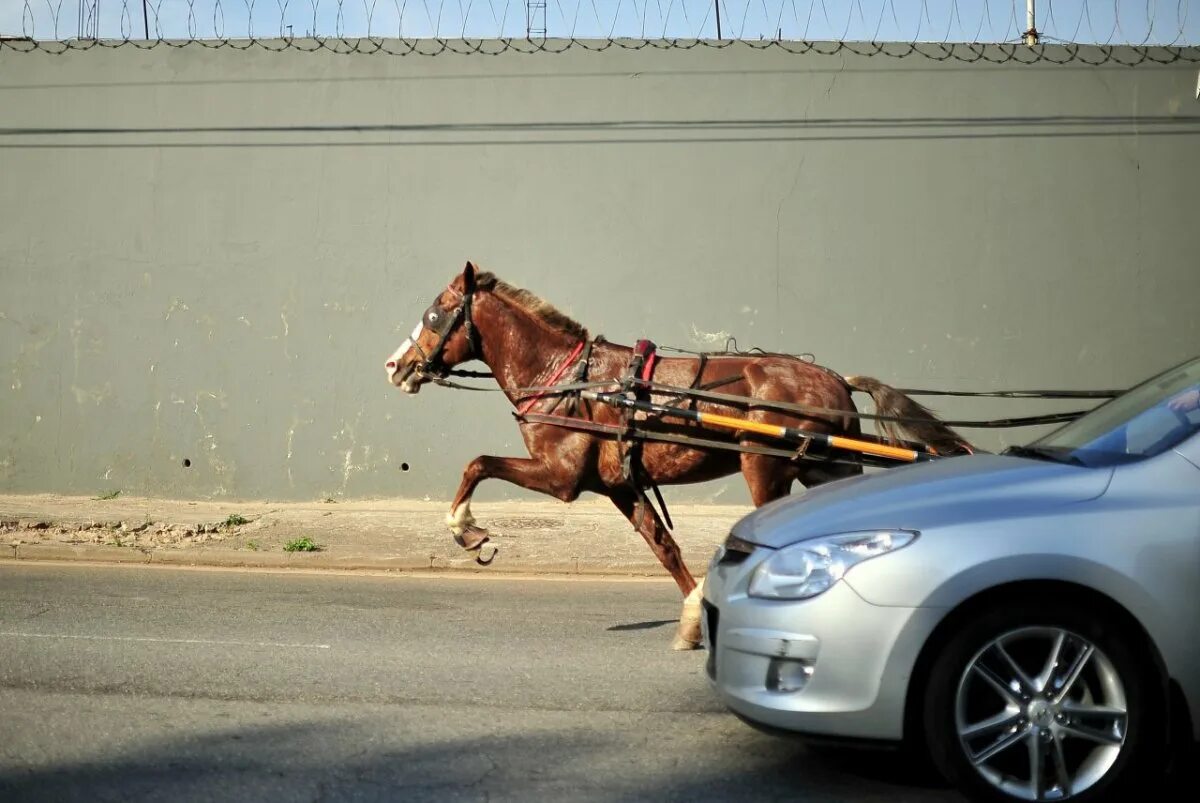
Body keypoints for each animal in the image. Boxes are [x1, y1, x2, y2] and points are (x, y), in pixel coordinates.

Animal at [388, 266, 969, 648]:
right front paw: (692, 617)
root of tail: (835, 380)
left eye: (435, 314)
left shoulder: (560, 477)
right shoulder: (620, 486)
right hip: (827, 467)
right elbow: (661, 545)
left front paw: (467, 531)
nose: (395, 365)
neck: (572, 380)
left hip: (767, 467)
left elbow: (478, 463)